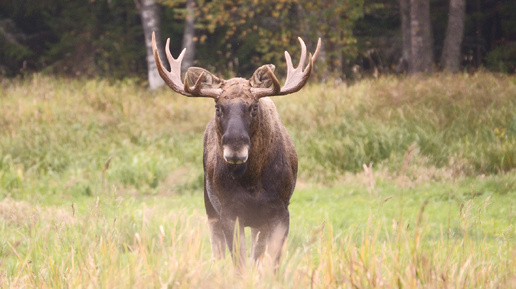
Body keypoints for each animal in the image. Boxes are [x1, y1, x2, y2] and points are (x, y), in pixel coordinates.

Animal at [151, 32, 320, 268]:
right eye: (218, 107)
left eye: (254, 107)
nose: (235, 148)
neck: (252, 182)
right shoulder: (228, 212)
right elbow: (239, 261)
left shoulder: (280, 210)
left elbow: (270, 261)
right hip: (209, 205)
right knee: (218, 249)